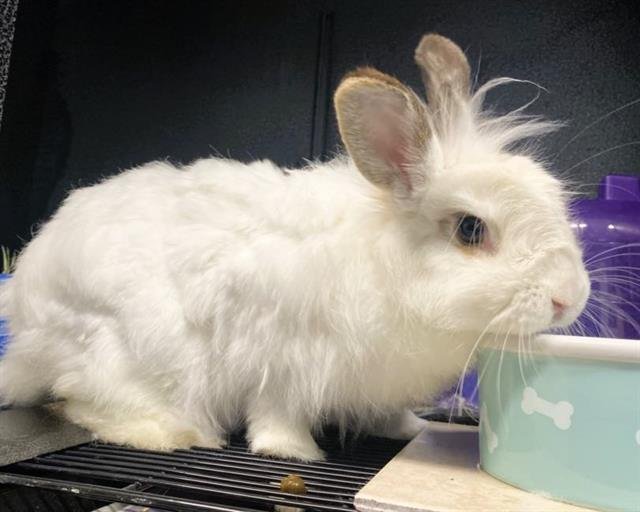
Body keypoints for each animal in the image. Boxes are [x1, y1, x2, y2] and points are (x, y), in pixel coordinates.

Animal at [0, 34, 590, 461]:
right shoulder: (281, 361)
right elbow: (277, 416)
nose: (570, 298)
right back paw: (173, 434)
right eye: (470, 229)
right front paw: (293, 454)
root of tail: (29, 324)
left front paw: (408, 429)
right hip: (134, 355)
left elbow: (386, 415)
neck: (383, 264)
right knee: (83, 400)